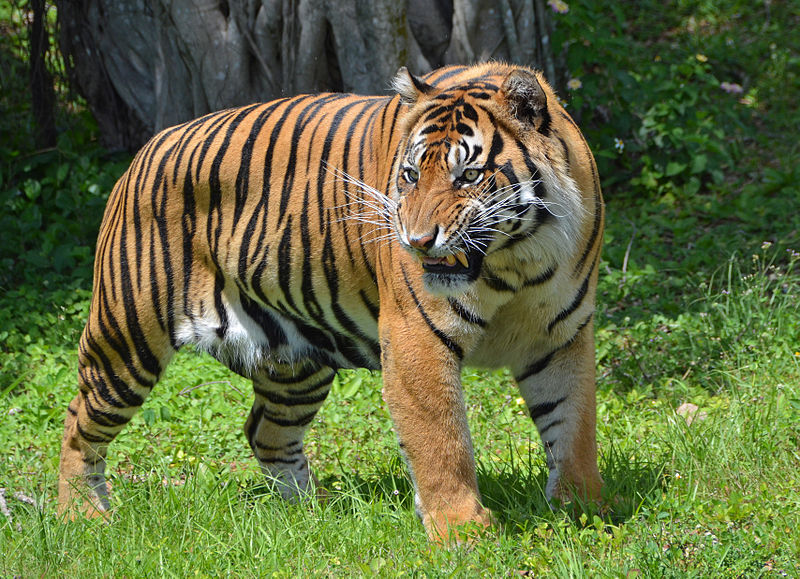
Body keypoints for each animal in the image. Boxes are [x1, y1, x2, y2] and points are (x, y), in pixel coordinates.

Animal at [59, 61, 604, 540]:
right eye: (410, 175)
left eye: (467, 177)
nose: (416, 241)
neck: (517, 261)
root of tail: (148, 147)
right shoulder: (416, 338)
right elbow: (441, 441)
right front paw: (461, 534)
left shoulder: (560, 336)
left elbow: (573, 425)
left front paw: (583, 510)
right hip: (125, 338)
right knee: (77, 423)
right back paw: (81, 516)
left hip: (294, 362)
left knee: (265, 432)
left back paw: (314, 513)